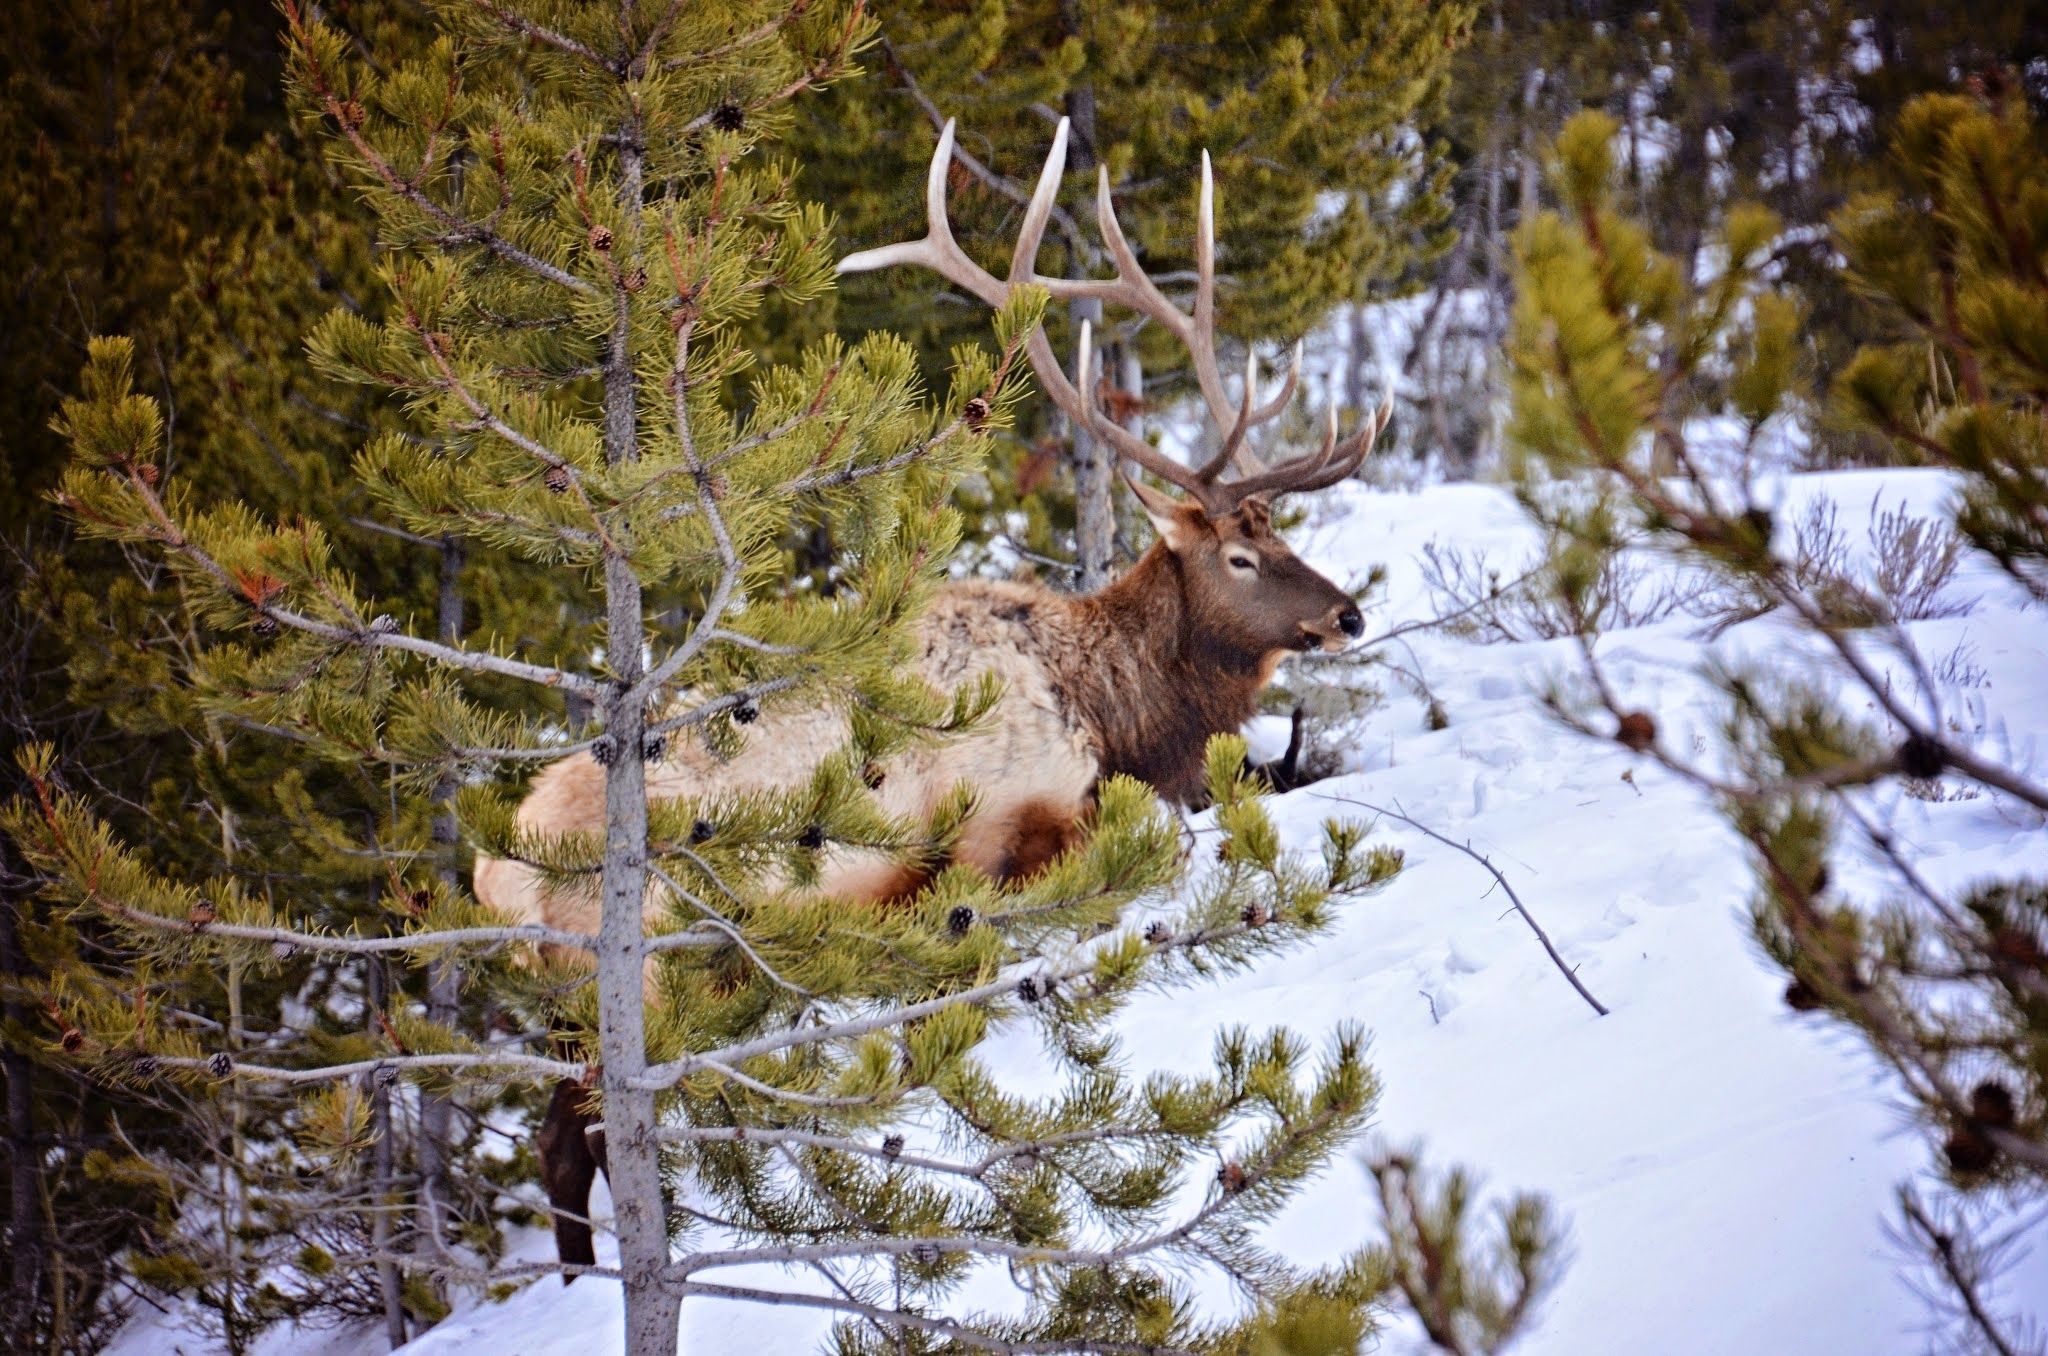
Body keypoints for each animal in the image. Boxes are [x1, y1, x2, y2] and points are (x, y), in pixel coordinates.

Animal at [470, 116, 1392, 1272]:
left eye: (1284, 536)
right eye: (1238, 555)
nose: (1347, 614)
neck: (1114, 707)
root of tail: (492, 868)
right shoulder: (1008, 821)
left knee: (559, 1141)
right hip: (626, 978)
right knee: (576, 1136)